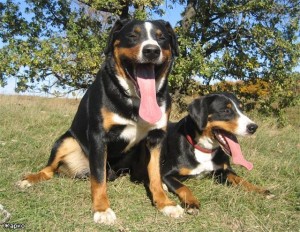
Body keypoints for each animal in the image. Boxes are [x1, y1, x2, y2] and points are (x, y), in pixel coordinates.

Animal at [18, 19, 185, 225]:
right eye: (133, 36)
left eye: (161, 38)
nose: (152, 50)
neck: (135, 101)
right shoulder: (98, 137)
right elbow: (98, 178)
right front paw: (102, 209)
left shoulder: (156, 138)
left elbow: (154, 174)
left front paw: (165, 203)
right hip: (66, 141)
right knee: (49, 170)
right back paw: (30, 178)